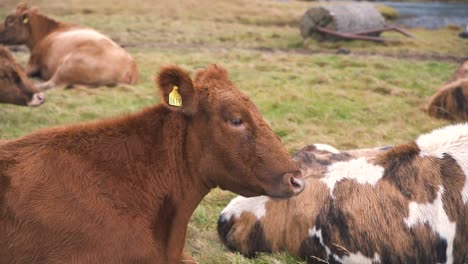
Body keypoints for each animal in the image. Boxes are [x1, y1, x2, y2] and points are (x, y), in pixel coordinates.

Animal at [0, 3, 138, 90]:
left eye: (9, 20)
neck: (48, 32)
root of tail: (131, 67)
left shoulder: (33, 62)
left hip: (68, 65)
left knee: (52, 84)